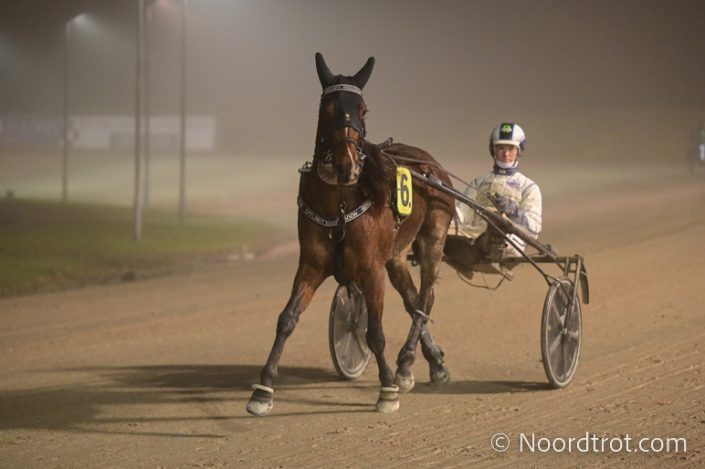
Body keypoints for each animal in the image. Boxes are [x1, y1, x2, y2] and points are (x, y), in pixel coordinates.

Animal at [246, 53, 455, 415]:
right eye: (326, 109)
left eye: (363, 110)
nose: (346, 166)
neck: (340, 205)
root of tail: (432, 164)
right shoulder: (312, 265)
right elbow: (287, 319)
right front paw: (263, 389)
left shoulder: (371, 268)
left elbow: (375, 332)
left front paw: (387, 389)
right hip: (396, 256)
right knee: (413, 299)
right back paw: (430, 363)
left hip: (433, 238)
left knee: (425, 299)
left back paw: (405, 365)